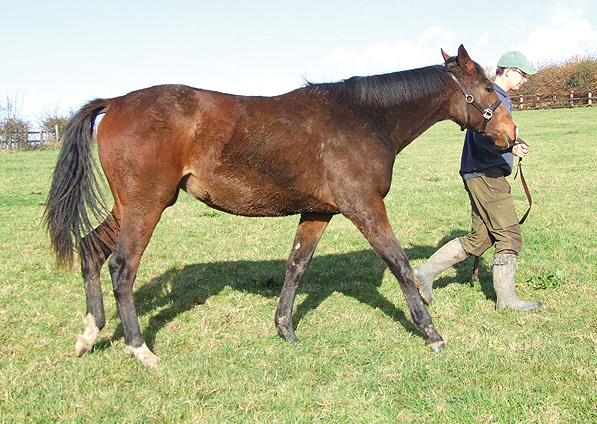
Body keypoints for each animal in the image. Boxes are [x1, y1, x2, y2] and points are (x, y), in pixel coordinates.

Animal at [44, 44, 516, 366]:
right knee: (122, 266)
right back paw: (140, 349)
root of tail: (116, 102)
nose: (510, 135)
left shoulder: (319, 211)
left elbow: (297, 265)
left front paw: (285, 328)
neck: (363, 119)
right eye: (487, 87)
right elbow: (399, 264)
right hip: (147, 205)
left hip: (129, 206)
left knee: (90, 249)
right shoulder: (365, 207)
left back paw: (90, 332)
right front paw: (431, 333)